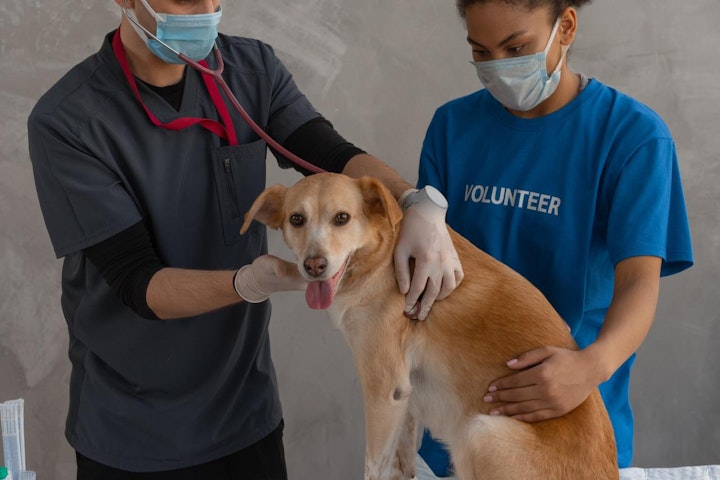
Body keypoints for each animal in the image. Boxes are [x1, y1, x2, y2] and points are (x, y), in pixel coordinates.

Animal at [242, 172, 620, 480]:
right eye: (296, 219)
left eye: (342, 218)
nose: (314, 265)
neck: (381, 257)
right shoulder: (406, 396)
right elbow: (402, 463)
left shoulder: (384, 390)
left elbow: (373, 467)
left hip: (480, 432)